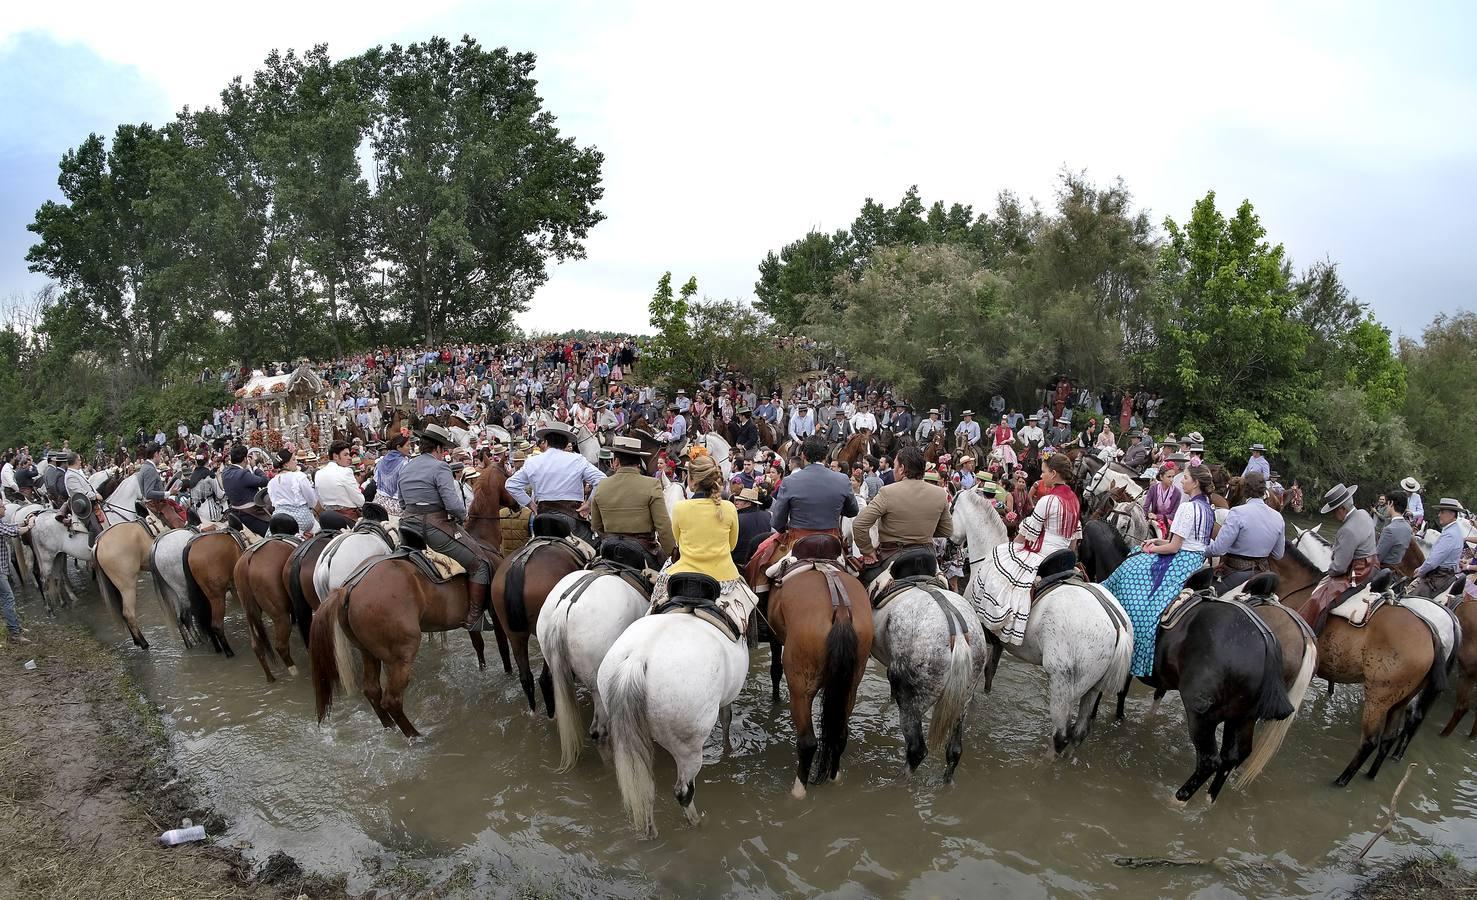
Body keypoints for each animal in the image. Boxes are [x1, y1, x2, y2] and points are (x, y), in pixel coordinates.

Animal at [596, 600, 750, 839]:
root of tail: (638, 657)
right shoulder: (728, 698)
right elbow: (726, 719)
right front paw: (727, 749)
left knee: (644, 786)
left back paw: (649, 830)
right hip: (688, 749)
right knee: (683, 791)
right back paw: (697, 823)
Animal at [768, 546, 868, 792]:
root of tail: (840, 611)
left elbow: (775, 669)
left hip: (801, 687)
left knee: (807, 743)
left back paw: (798, 792)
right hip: (850, 685)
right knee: (840, 734)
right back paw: (834, 777)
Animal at [951, 487, 1134, 753]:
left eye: (951, 509)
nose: (950, 540)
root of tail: (1117, 625)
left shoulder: (983, 638)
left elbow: (974, 685)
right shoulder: (997, 642)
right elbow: (989, 675)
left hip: (1062, 685)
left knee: (1060, 736)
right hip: (1092, 690)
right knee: (1078, 734)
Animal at [1276, 537, 1447, 780]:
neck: (1298, 584)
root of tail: (1431, 633)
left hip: (1378, 698)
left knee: (1370, 741)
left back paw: (1341, 780)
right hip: (1401, 700)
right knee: (1389, 737)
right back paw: (1370, 775)